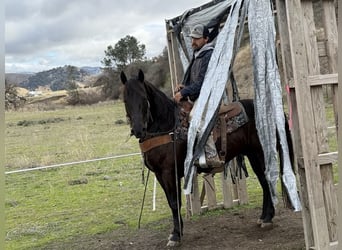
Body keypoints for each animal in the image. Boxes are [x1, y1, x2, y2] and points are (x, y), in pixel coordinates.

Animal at [119, 69, 292, 247]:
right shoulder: (160, 175)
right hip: (253, 155)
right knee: (264, 182)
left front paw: (176, 235)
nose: (138, 130)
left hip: (261, 153)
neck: (168, 127)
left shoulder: (169, 173)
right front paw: (177, 232)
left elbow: (174, 203)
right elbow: (171, 202)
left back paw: (268, 219)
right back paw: (264, 217)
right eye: (125, 100)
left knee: (268, 181)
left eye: (144, 99)